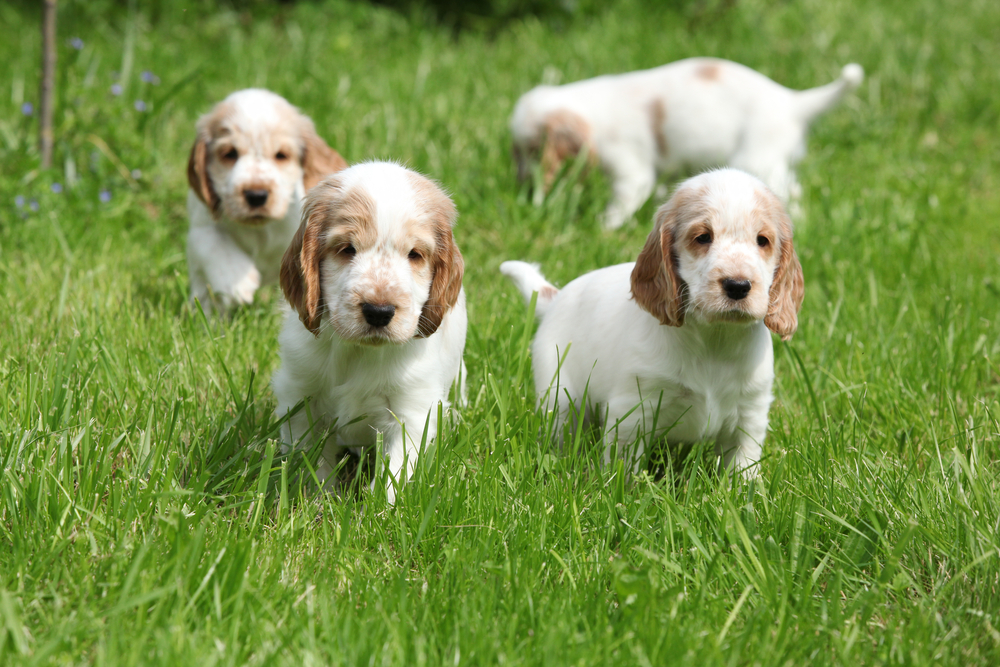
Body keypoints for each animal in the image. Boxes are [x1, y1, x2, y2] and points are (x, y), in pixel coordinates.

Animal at [187, 87, 348, 314]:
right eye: (229, 154)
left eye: (281, 155)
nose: (256, 195)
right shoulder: (201, 224)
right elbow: (213, 243)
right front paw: (237, 283)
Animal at [270, 163, 464, 506]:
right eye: (347, 249)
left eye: (415, 254)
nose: (379, 311)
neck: (358, 351)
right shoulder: (301, 396)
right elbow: (311, 463)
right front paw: (317, 502)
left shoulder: (412, 412)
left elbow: (393, 476)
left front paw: (379, 513)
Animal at [500, 170, 804, 478]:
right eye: (703, 237)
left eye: (763, 240)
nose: (738, 286)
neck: (714, 339)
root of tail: (556, 297)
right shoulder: (633, 411)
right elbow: (626, 468)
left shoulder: (750, 415)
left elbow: (742, 469)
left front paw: (742, 491)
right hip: (559, 394)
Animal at [512, 58, 864, 230]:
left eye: (533, 150)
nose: (525, 187)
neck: (592, 106)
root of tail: (792, 101)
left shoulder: (630, 169)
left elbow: (623, 200)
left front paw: (605, 227)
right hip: (776, 163)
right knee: (795, 193)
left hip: (757, 159)